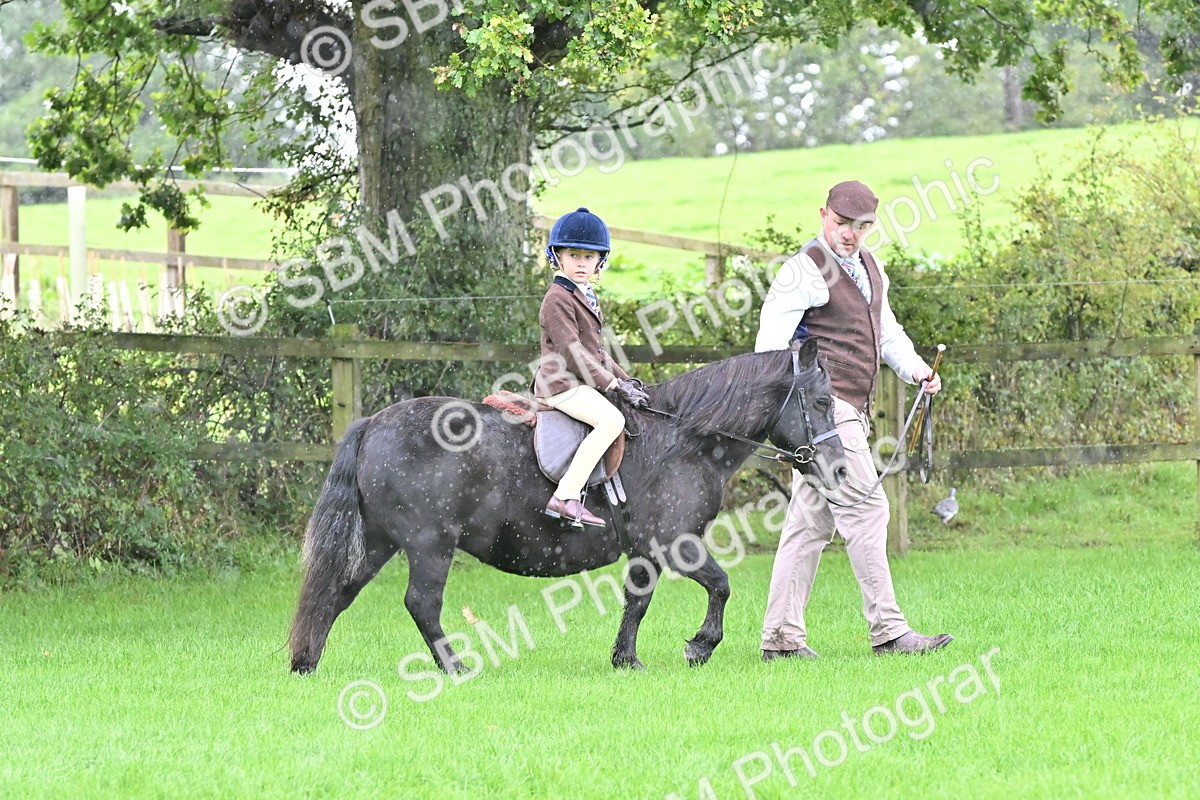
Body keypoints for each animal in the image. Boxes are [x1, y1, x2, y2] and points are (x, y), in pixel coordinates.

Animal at [289, 338, 847, 674]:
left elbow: (637, 601)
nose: (840, 469)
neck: (682, 440)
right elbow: (721, 585)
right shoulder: (675, 543)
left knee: (336, 593)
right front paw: (700, 645)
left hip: (379, 542)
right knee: (421, 603)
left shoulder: (645, 551)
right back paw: (454, 667)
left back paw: (306, 664)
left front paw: (626, 660)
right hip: (430, 545)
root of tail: (372, 424)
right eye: (821, 402)